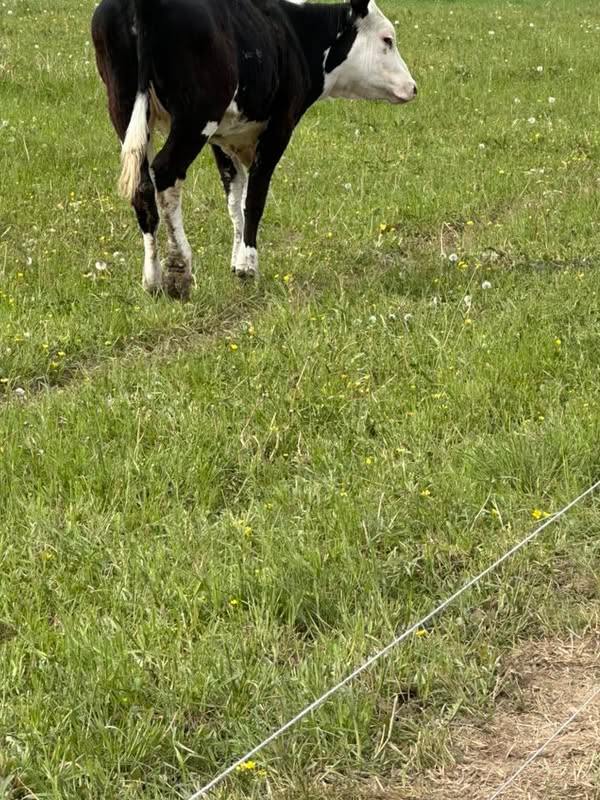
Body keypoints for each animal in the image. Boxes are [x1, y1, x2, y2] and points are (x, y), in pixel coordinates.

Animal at [92, 0, 417, 300]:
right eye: (387, 39)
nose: (413, 87)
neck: (297, 34)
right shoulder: (278, 130)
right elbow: (255, 197)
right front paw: (248, 265)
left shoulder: (223, 139)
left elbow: (235, 200)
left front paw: (236, 261)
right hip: (194, 118)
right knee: (165, 172)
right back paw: (178, 269)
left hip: (124, 110)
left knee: (143, 188)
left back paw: (152, 278)